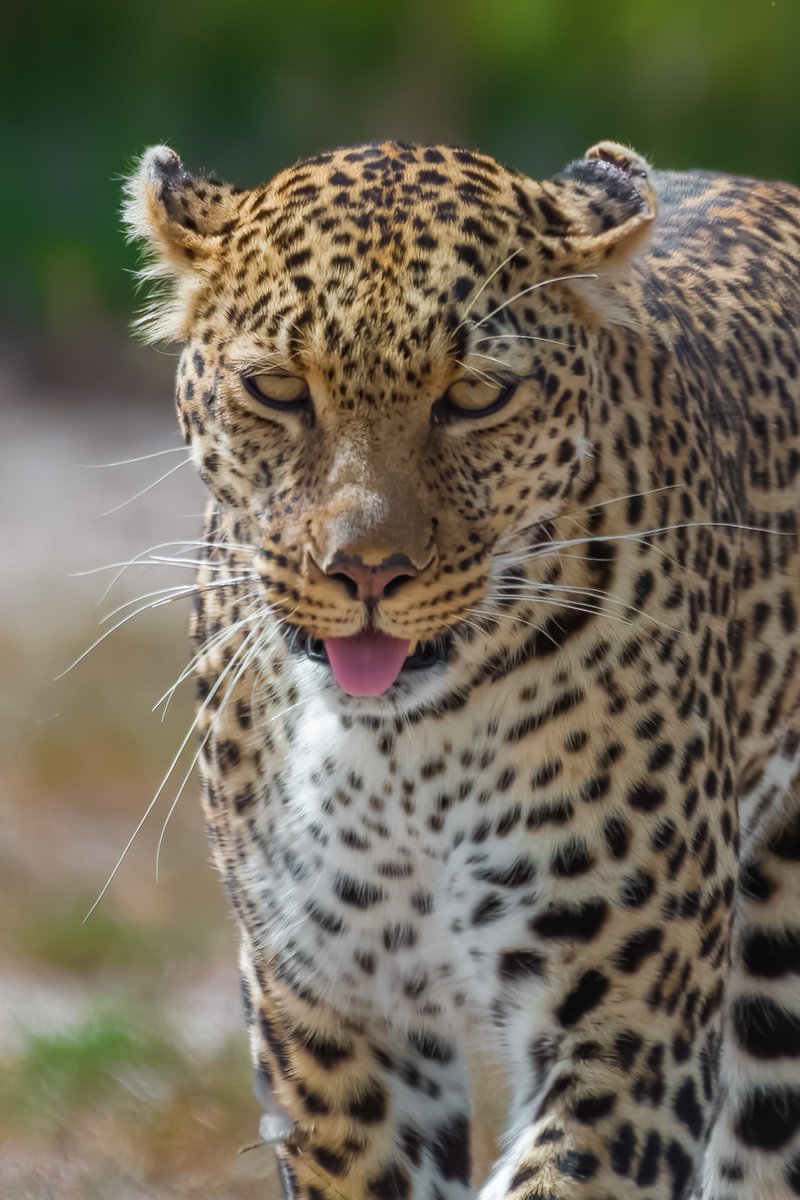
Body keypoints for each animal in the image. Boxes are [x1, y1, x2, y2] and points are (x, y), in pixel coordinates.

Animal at [123, 136, 800, 1200]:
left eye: (475, 396)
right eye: (279, 389)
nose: (367, 569)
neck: (404, 755)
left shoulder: (626, 1024)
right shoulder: (331, 1009)